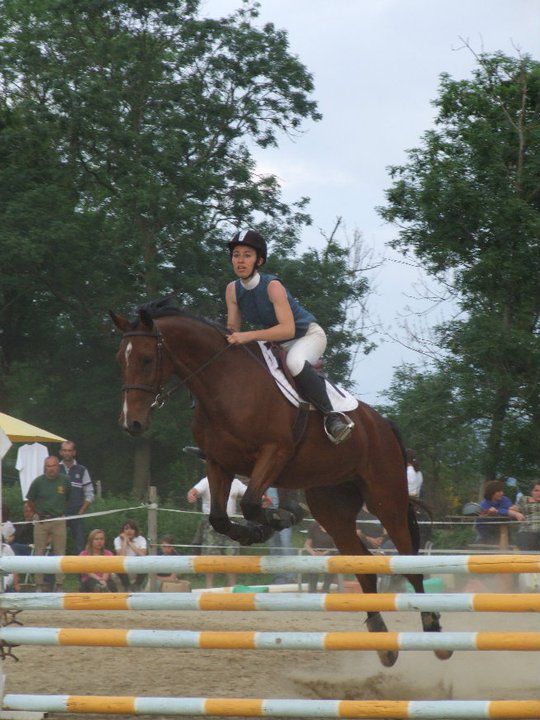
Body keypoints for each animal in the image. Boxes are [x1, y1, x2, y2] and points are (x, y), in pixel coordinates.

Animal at [110, 298, 452, 667]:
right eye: (120, 360)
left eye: (146, 359)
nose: (132, 423)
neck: (223, 383)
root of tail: (384, 425)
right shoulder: (219, 463)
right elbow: (220, 517)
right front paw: (264, 526)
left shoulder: (275, 451)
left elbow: (249, 502)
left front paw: (271, 522)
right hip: (332, 506)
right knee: (362, 564)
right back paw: (382, 639)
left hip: (385, 497)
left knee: (409, 561)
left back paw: (435, 633)